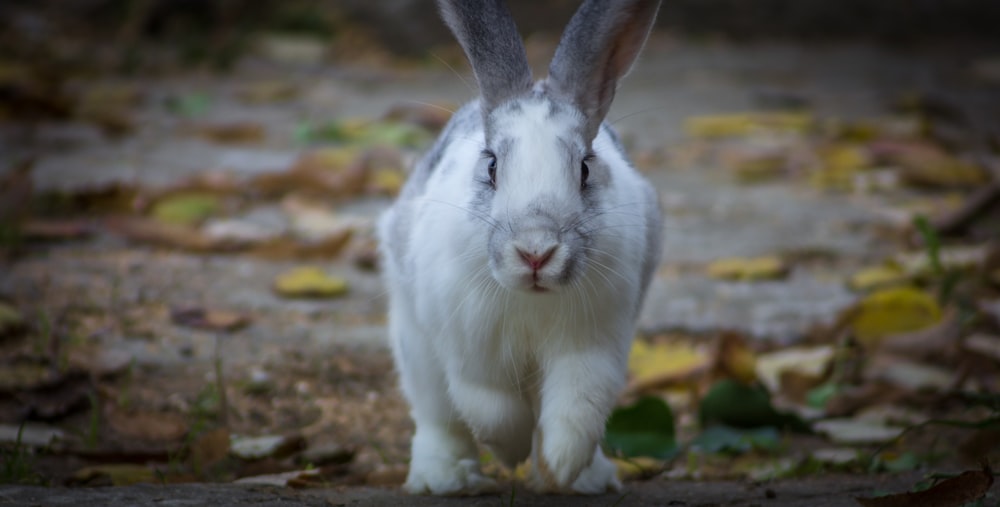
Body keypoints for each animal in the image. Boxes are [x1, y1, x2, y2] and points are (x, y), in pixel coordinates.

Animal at [376, 0, 664, 496]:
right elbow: (494, 411)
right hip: (415, 347)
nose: (535, 253)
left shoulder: (592, 349)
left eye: (585, 169)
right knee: (439, 419)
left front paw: (559, 468)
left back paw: (592, 479)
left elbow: (575, 412)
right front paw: (510, 455)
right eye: (491, 166)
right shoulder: (470, 355)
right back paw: (444, 479)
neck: (533, 299)